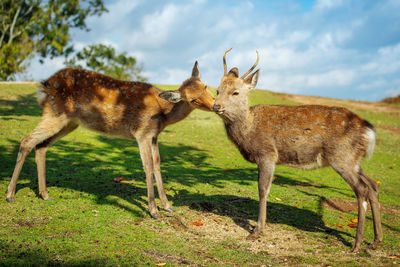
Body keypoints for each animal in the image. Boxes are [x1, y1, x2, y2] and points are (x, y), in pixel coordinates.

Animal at [6, 62, 214, 220]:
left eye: (205, 86)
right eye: (192, 100)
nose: (215, 105)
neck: (163, 114)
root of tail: (43, 86)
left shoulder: (154, 135)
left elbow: (157, 165)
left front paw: (168, 205)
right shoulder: (142, 132)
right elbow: (147, 166)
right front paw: (154, 211)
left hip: (69, 122)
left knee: (41, 146)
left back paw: (45, 194)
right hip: (56, 113)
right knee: (26, 141)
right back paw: (10, 195)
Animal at [214, 49, 382, 253]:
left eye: (235, 92)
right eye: (217, 90)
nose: (216, 106)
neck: (249, 129)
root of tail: (369, 130)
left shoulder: (267, 153)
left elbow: (263, 189)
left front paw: (256, 231)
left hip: (342, 157)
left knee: (362, 189)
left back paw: (356, 245)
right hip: (354, 160)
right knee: (373, 185)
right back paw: (375, 241)